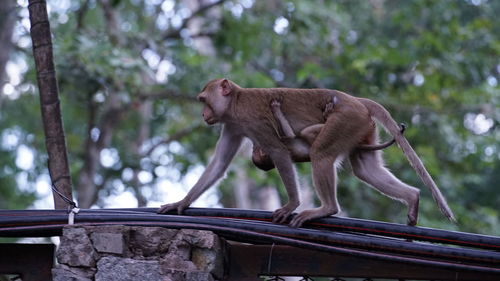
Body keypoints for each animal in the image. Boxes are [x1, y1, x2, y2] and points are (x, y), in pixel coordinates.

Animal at [158, 77, 456, 226]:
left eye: (204, 100)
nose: (203, 114)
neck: (236, 101)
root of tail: (355, 100)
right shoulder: (232, 124)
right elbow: (219, 164)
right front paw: (181, 203)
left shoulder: (250, 120)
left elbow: (279, 152)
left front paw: (291, 205)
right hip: (361, 126)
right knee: (365, 169)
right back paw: (413, 198)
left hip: (345, 119)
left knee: (321, 155)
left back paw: (327, 209)